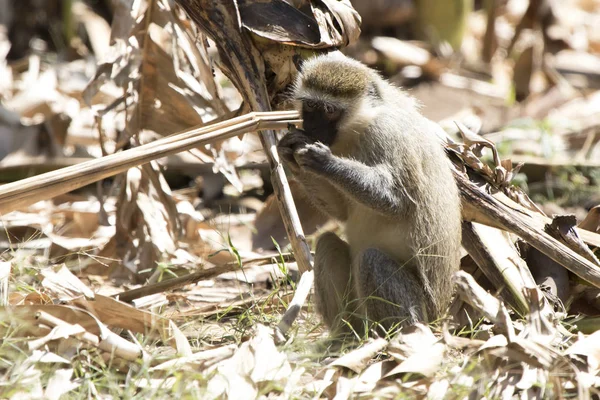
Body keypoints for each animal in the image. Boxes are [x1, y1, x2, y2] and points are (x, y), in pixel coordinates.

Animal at [278, 52, 464, 334]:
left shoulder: (386, 133)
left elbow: (396, 200)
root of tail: (439, 316)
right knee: (328, 243)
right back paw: (344, 335)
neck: (360, 125)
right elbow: (342, 212)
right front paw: (288, 150)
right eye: (310, 105)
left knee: (371, 259)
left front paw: (324, 161)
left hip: (421, 312)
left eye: (330, 111)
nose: (312, 128)